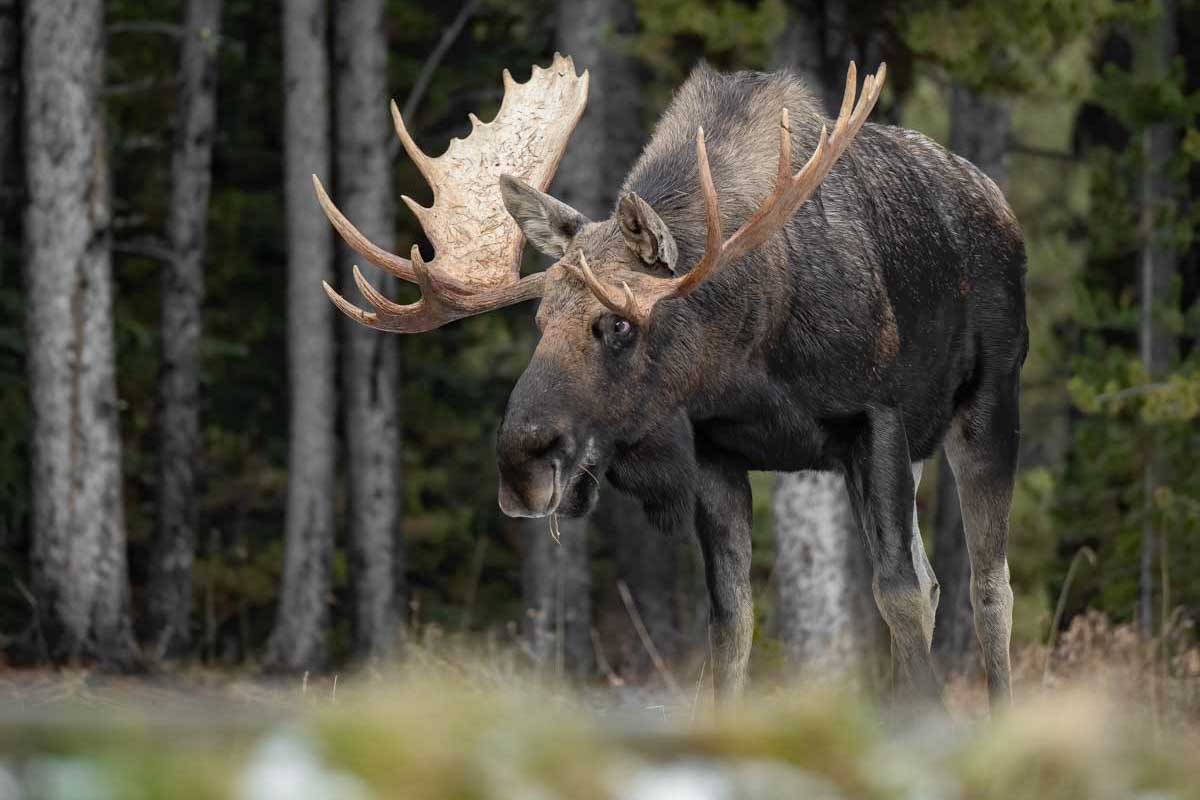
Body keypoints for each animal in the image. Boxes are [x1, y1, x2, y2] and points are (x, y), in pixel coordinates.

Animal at [314, 54, 1028, 709]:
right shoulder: (715, 449)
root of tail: (998, 201)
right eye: (540, 320)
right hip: (916, 449)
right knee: (939, 580)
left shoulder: (874, 417)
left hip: (986, 405)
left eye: (619, 323)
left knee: (988, 587)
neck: (751, 351)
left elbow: (898, 594)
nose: (521, 464)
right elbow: (731, 622)